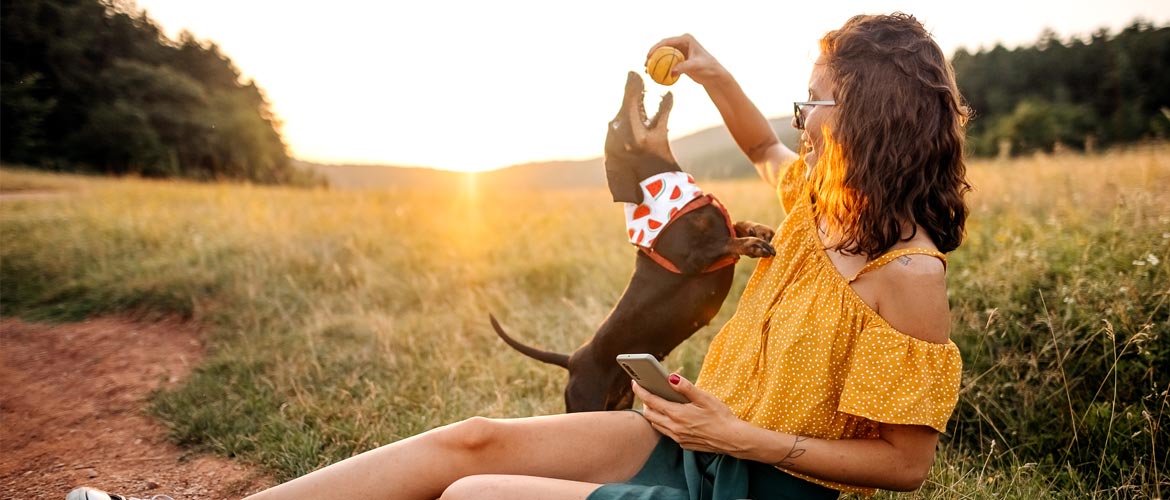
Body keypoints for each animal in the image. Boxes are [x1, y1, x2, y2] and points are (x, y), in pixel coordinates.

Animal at [493, 72, 776, 412]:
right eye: (616, 124)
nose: (632, 75)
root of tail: (573, 360)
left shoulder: (719, 227)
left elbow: (735, 226)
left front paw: (759, 230)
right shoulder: (691, 257)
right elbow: (722, 243)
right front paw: (751, 244)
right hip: (585, 403)